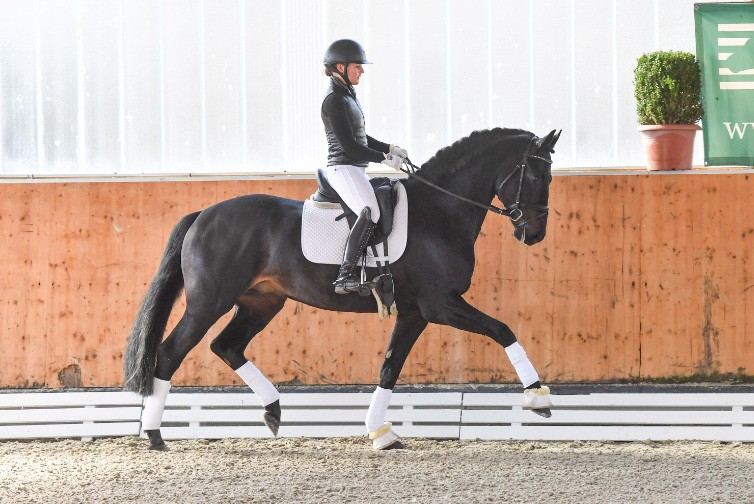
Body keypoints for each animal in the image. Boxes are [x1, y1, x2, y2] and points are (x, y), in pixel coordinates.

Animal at [124, 127, 561, 450]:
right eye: (536, 176)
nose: (536, 233)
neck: (440, 212)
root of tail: (203, 215)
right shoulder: (441, 305)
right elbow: (502, 329)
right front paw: (537, 397)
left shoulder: (415, 312)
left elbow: (389, 367)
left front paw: (380, 433)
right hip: (208, 302)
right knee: (171, 352)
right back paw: (155, 435)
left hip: (262, 302)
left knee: (226, 346)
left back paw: (273, 411)